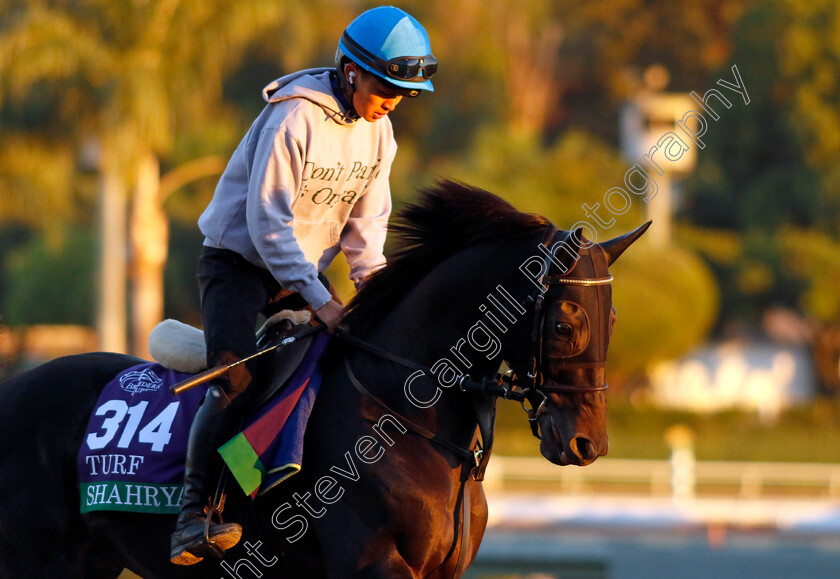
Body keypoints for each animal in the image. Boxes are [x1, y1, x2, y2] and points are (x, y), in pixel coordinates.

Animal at [0, 179, 648, 576]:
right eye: (565, 323)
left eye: (614, 317)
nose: (588, 443)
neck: (401, 412)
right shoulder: (372, 563)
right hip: (41, 558)